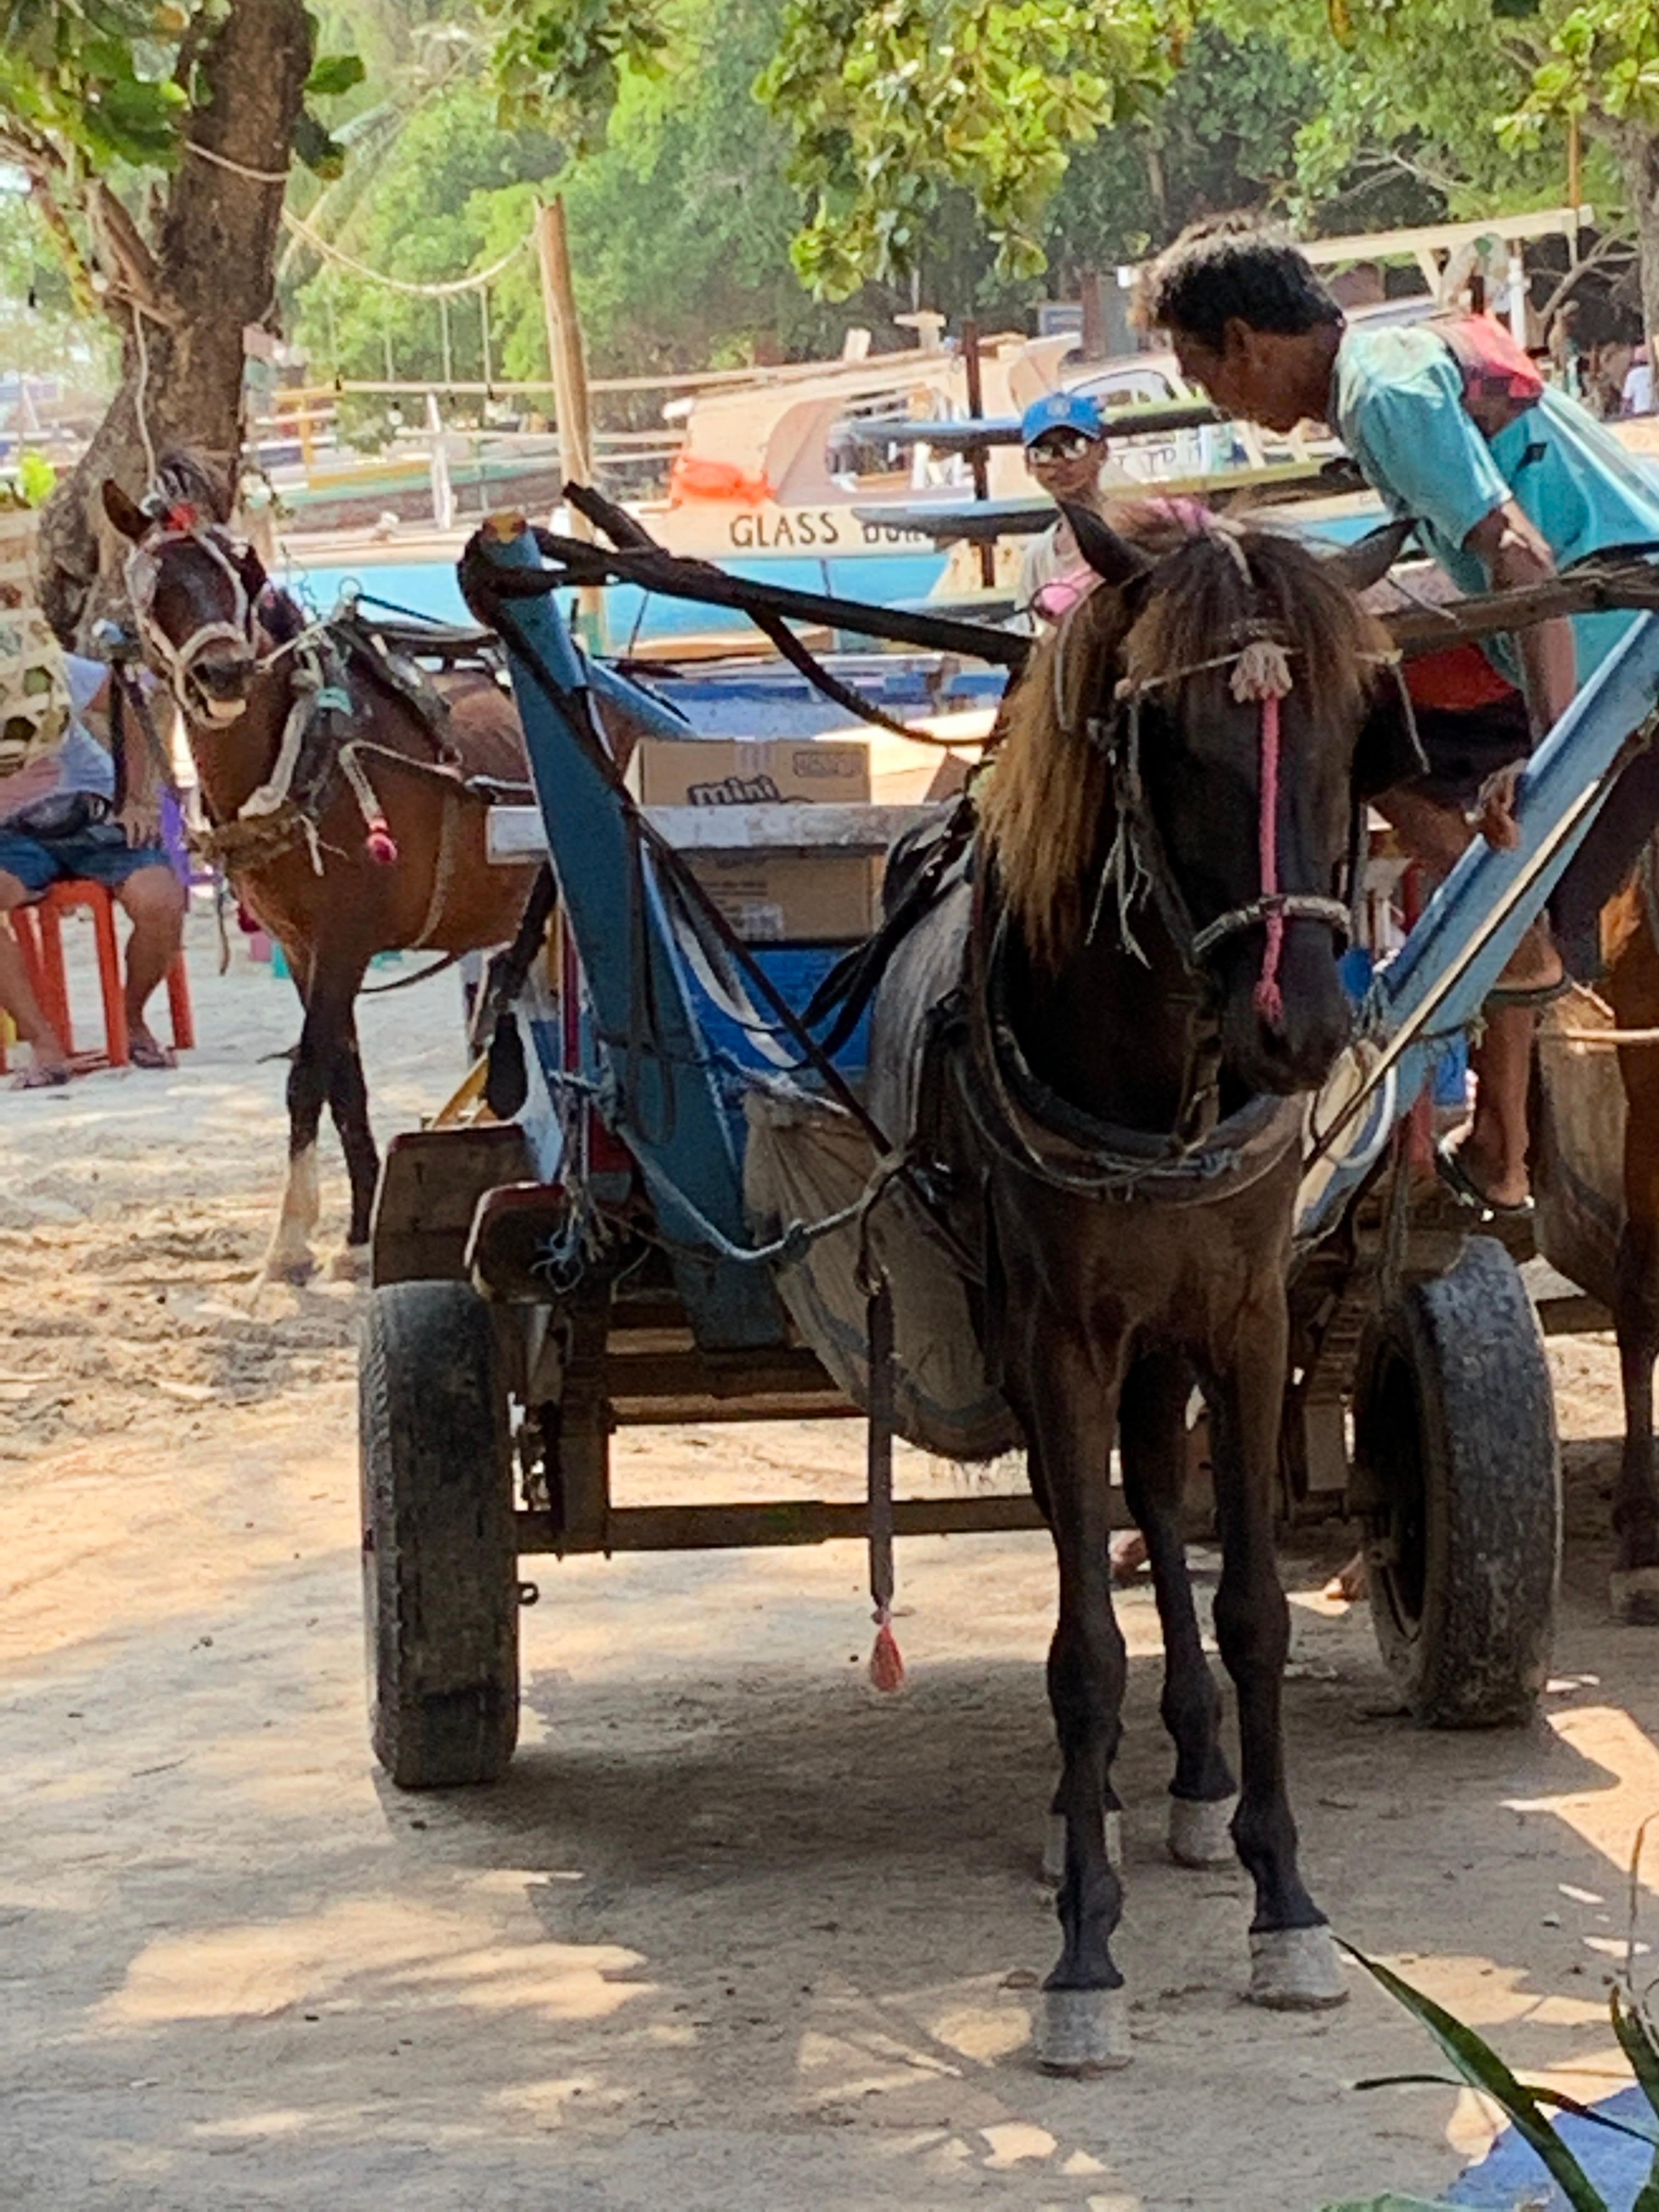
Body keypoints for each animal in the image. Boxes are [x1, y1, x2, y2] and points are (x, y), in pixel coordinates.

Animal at [99, 460, 539, 1291]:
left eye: (240, 570)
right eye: (154, 587)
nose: (225, 672)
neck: (312, 749)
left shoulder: (346, 941)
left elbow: (306, 1076)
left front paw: (290, 1242)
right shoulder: (304, 948)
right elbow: (344, 1083)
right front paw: (362, 1232)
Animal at [871, 509, 1415, 2061]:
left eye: (1361, 730)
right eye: (1165, 737)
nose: (1301, 1025)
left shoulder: (1243, 1316)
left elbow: (1254, 1612)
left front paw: (1284, 1903)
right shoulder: (1057, 1334)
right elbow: (1079, 1651)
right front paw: (1084, 1953)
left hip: (1165, 1337)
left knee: (1158, 1504)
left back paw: (1189, 1771)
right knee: (1087, 1531)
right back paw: (1092, 1805)